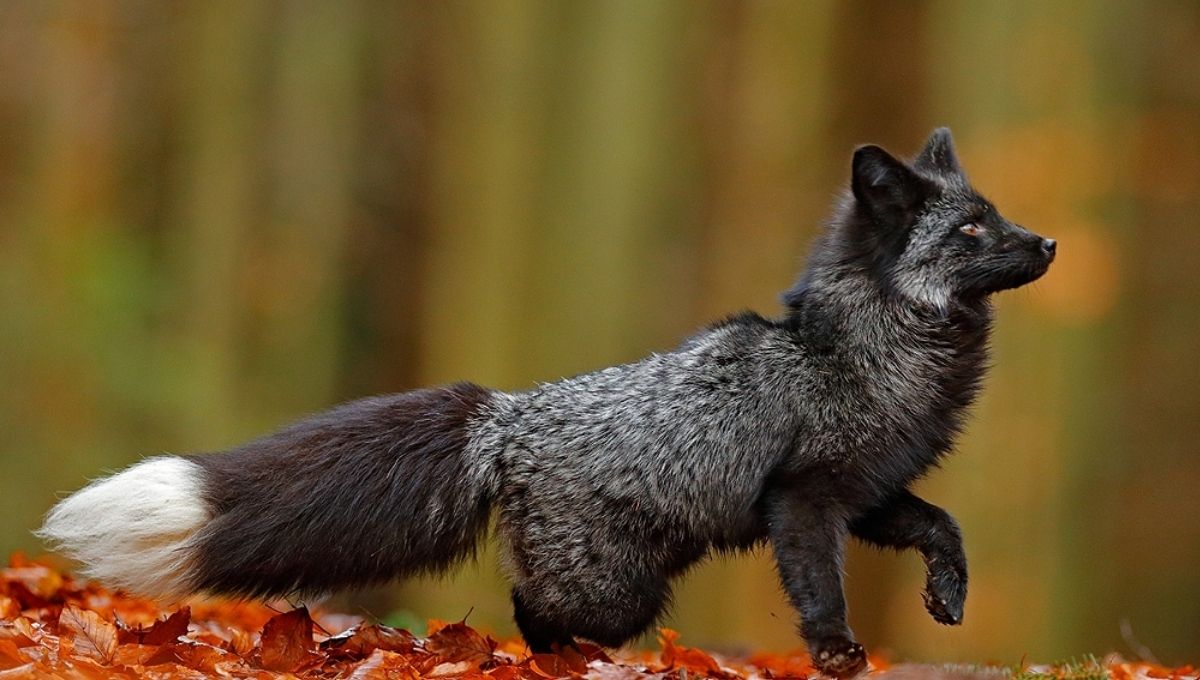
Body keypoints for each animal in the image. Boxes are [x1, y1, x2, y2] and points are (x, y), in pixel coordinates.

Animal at [39, 128, 1055, 678]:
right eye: (972, 230)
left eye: (997, 218)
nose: (1048, 243)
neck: (870, 350)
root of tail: (508, 416)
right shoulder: (803, 500)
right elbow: (818, 589)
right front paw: (838, 651)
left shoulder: (870, 491)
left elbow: (944, 526)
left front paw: (948, 597)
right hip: (614, 587)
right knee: (533, 612)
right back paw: (557, 662)